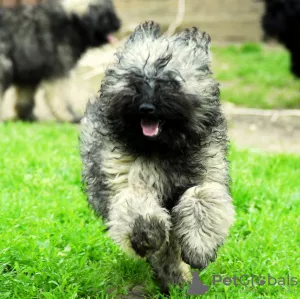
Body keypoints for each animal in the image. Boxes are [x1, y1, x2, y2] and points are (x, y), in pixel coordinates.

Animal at [81, 21, 236, 296]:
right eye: (136, 79)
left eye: (171, 81)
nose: (146, 108)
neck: (164, 149)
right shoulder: (127, 177)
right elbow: (137, 205)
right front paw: (146, 234)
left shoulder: (208, 174)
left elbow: (202, 197)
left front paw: (199, 247)